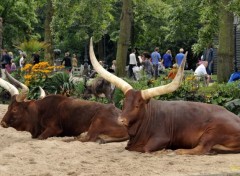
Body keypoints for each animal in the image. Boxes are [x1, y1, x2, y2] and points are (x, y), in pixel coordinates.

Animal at [0, 71, 128, 143]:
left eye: (15, 109)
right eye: (8, 107)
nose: (2, 122)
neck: (40, 112)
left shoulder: (55, 128)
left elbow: (41, 137)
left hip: (96, 122)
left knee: (87, 138)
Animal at [89, 37, 240, 154]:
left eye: (137, 105)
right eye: (124, 103)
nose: (121, 120)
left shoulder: (161, 138)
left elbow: (146, 149)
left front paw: (164, 150)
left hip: (212, 132)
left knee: (202, 148)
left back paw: (180, 151)